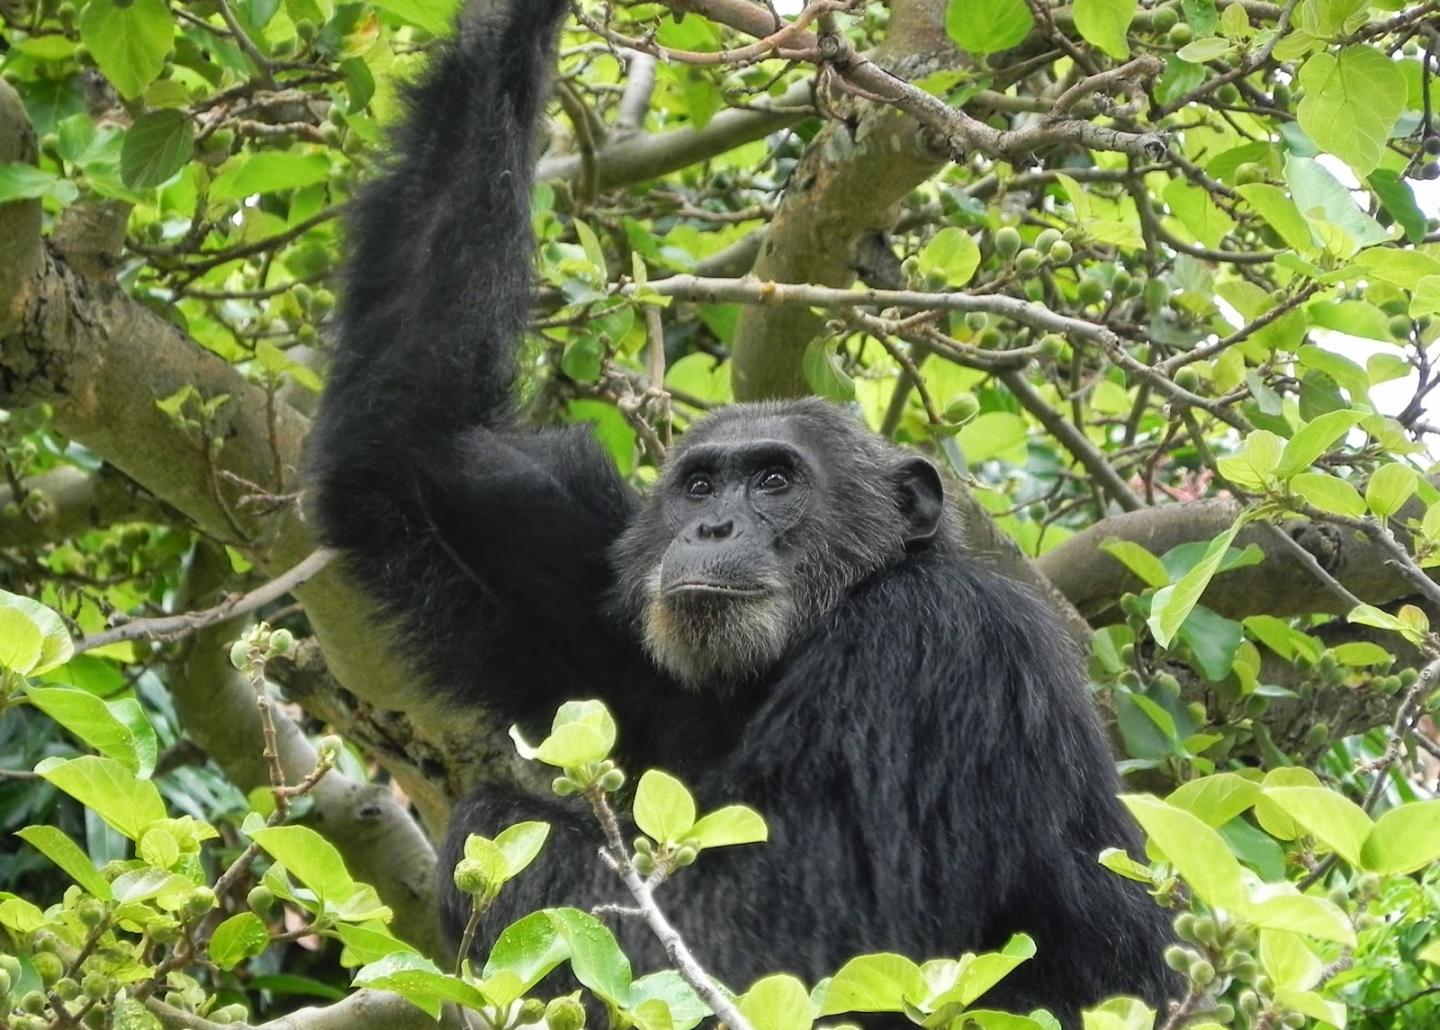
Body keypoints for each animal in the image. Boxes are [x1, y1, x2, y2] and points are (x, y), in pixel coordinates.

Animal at [309, 0, 1175, 1019]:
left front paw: (497, 823)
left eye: (773, 482)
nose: (713, 527)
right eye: (699, 486)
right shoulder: (596, 603)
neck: (808, 636)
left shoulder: (930, 657)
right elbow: (421, 439)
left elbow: (766, 940)